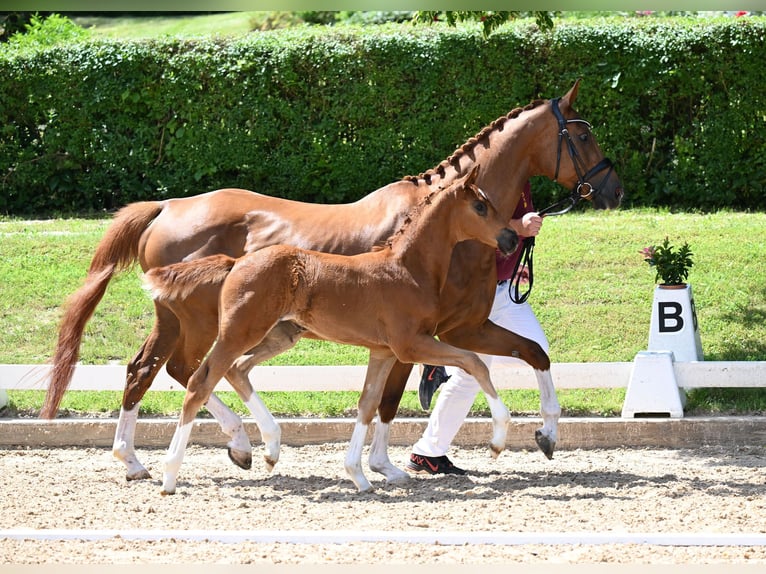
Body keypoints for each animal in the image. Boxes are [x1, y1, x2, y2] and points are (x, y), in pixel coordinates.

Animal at [145, 167, 520, 493]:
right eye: (480, 206)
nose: (512, 238)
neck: (407, 269)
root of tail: (236, 262)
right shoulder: (410, 344)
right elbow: (474, 361)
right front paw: (498, 441)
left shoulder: (383, 351)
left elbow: (368, 404)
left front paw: (358, 475)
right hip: (239, 333)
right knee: (200, 381)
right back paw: (170, 475)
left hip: (278, 335)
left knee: (235, 371)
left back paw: (268, 449)